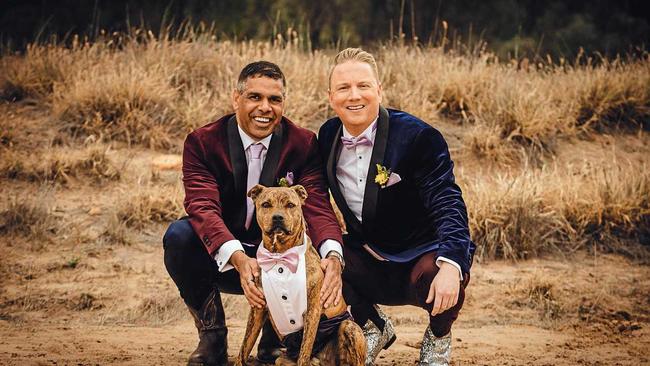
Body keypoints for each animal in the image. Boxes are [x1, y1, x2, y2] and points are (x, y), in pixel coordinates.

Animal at [234, 186, 368, 366]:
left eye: (290, 205)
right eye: (266, 204)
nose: (278, 217)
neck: (281, 255)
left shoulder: (313, 309)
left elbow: (305, 349)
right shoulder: (258, 308)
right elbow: (245, 346)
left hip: (350, 327)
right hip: (281, 360)